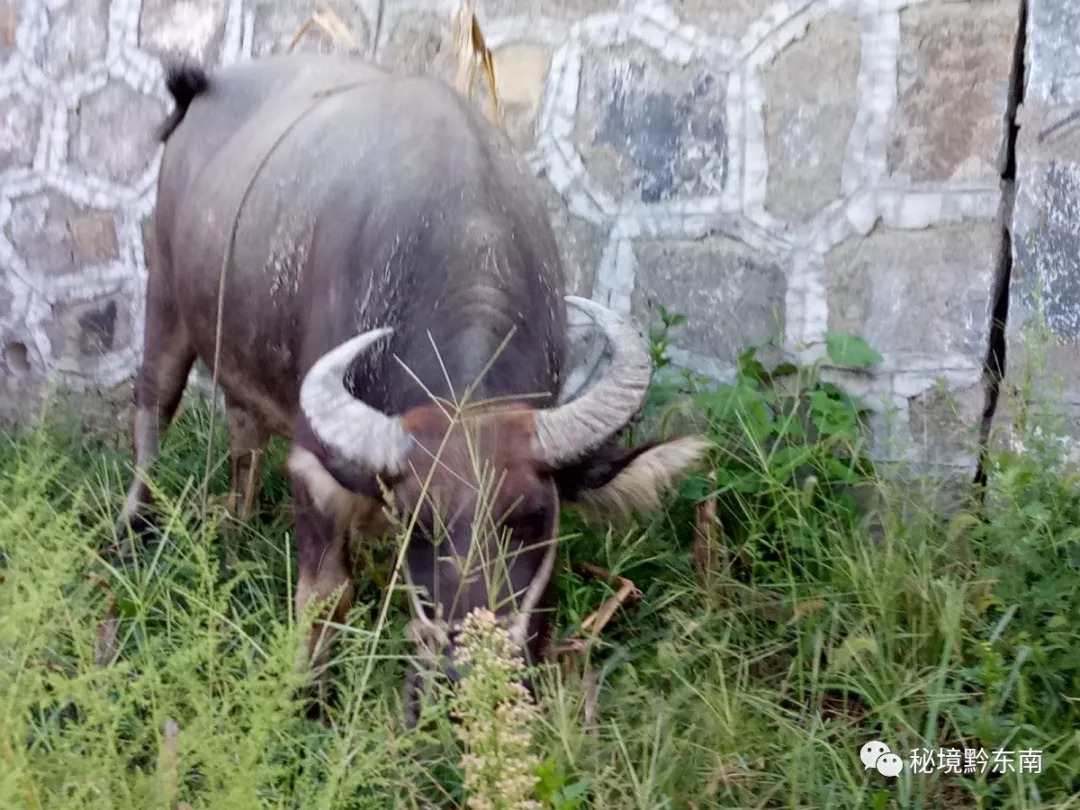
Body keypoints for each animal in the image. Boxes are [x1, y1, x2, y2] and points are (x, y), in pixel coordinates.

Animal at [118, 54, 712, 721]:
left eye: (532, 518)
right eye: (416, 524)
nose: (463, 678)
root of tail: (203, 87)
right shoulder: (318, 470)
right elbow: (326, 593)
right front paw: (309, 698)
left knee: (243, 434)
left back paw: (236, 527)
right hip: (165, 302)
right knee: (152, 410)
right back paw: (131, 530)